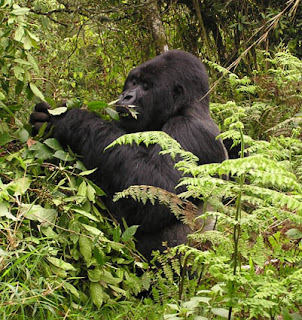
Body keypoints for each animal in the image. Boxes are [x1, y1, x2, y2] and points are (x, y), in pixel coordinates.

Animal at [30, 50, 226, 260]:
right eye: (133, 82)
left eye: (146, 86)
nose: (126, 96)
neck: (185, 107)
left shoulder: (188, 130)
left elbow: (157, 197)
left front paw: (69, 119)